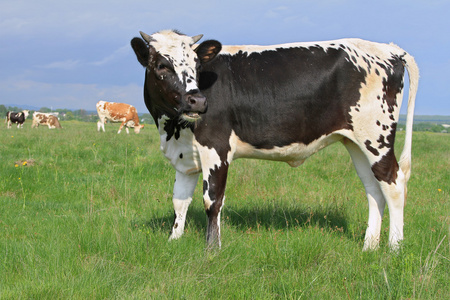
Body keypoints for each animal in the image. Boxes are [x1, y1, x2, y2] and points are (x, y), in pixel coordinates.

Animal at [132, 29, 420, 251]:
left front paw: (212, 249)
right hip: (357, 143)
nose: (198, 100)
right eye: (161, 66)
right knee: (373, 189)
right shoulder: (184, 155)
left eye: (197, 66)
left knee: (393, 183)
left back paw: (394, 247)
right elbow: (179, 201)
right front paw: (173, 241)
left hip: (376, 136)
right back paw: (369, 246)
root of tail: (389, 49)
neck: (172, 129)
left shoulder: (216, 147)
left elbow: (212, 200)